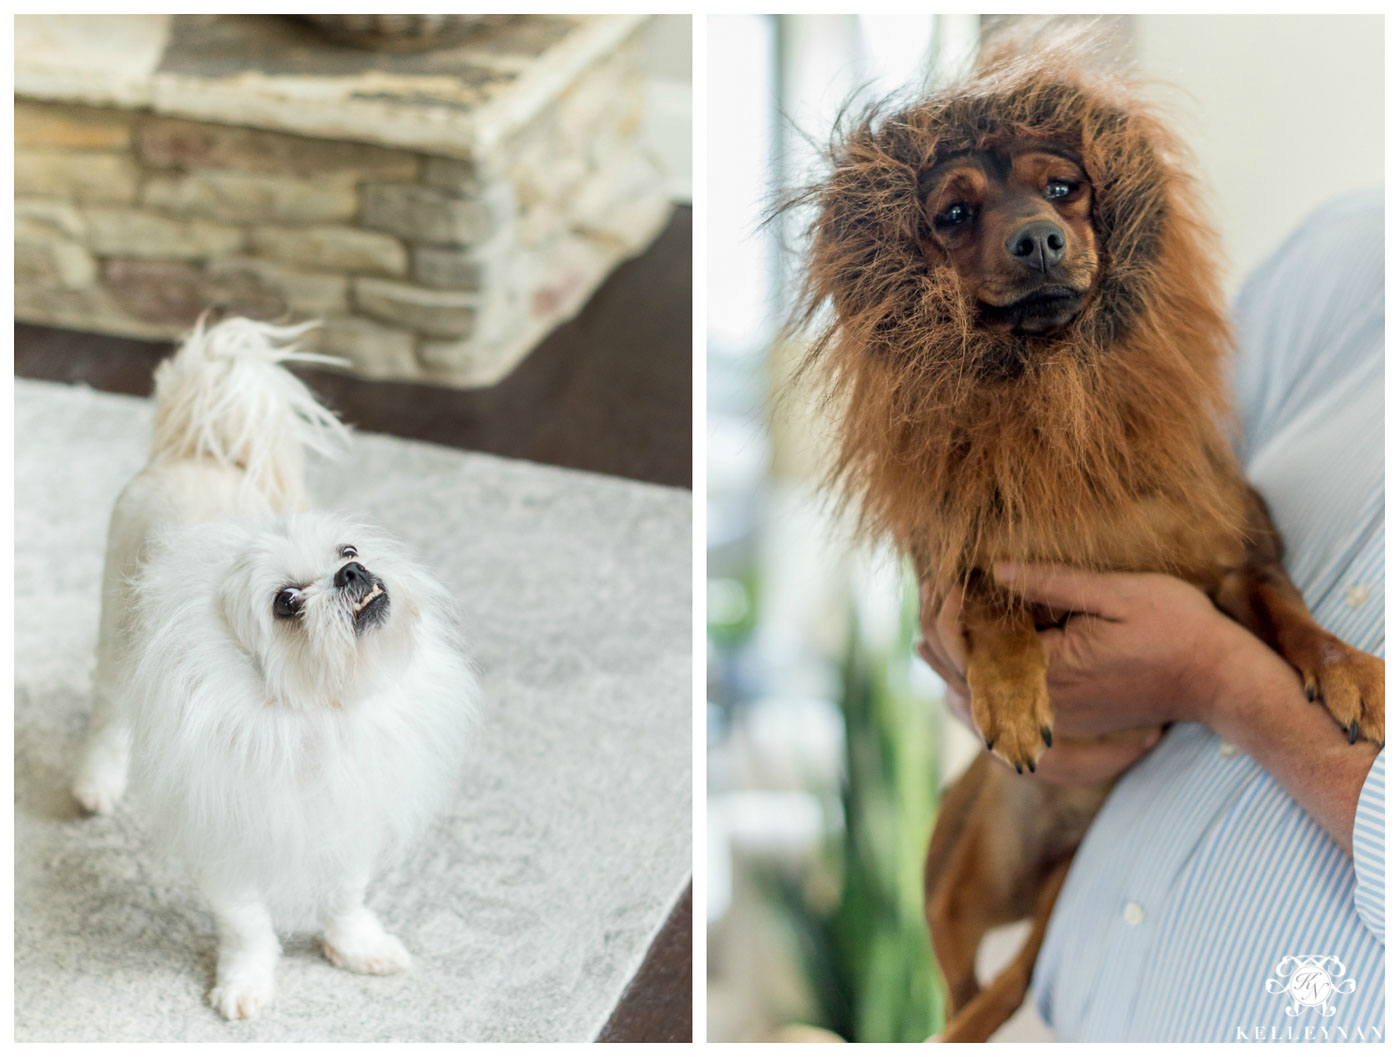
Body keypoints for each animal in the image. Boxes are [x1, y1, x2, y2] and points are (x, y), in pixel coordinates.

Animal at [72, 317, 481, 1017]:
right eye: (285, 602)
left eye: (348, 550)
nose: (352, 572)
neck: (316, 715)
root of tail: (192, 453)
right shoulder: (224, 838)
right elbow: (246, 923)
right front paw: (246, 984)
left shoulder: (351, 819)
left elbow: (346, 897)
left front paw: (357, 949)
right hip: (115, 643)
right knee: (106, 721)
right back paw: (96, 786)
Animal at [789, 28, 1387, 1045]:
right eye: (953, 213)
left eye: (1063, 187)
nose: (1037, 237)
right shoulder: (959, 558)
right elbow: (990, 597)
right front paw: (1011, 694)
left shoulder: (1235, 561)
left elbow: (1291, 610)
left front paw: (1349, 670)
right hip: (954, 868)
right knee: (961, 989)